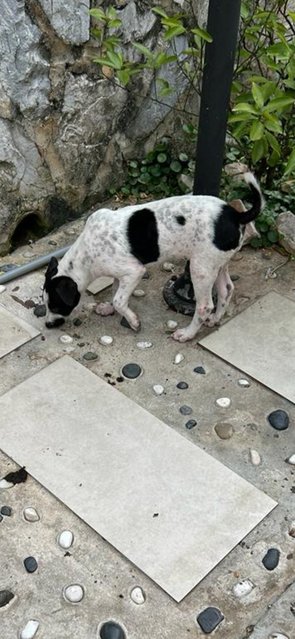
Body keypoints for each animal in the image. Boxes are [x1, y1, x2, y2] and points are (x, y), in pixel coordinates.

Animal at [43, 170, 264, 340]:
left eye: (55, 304)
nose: (47, 325)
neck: (85, 254)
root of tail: (236, 215)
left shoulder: (134, 271)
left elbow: (119, 300)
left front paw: (133, 321)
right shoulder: (121, 274)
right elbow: (115, 291)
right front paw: (108, 308)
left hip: (200, 269)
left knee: (204, 306)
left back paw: (187, 334)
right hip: (217, 264)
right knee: (226, 289)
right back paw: (216, 319)